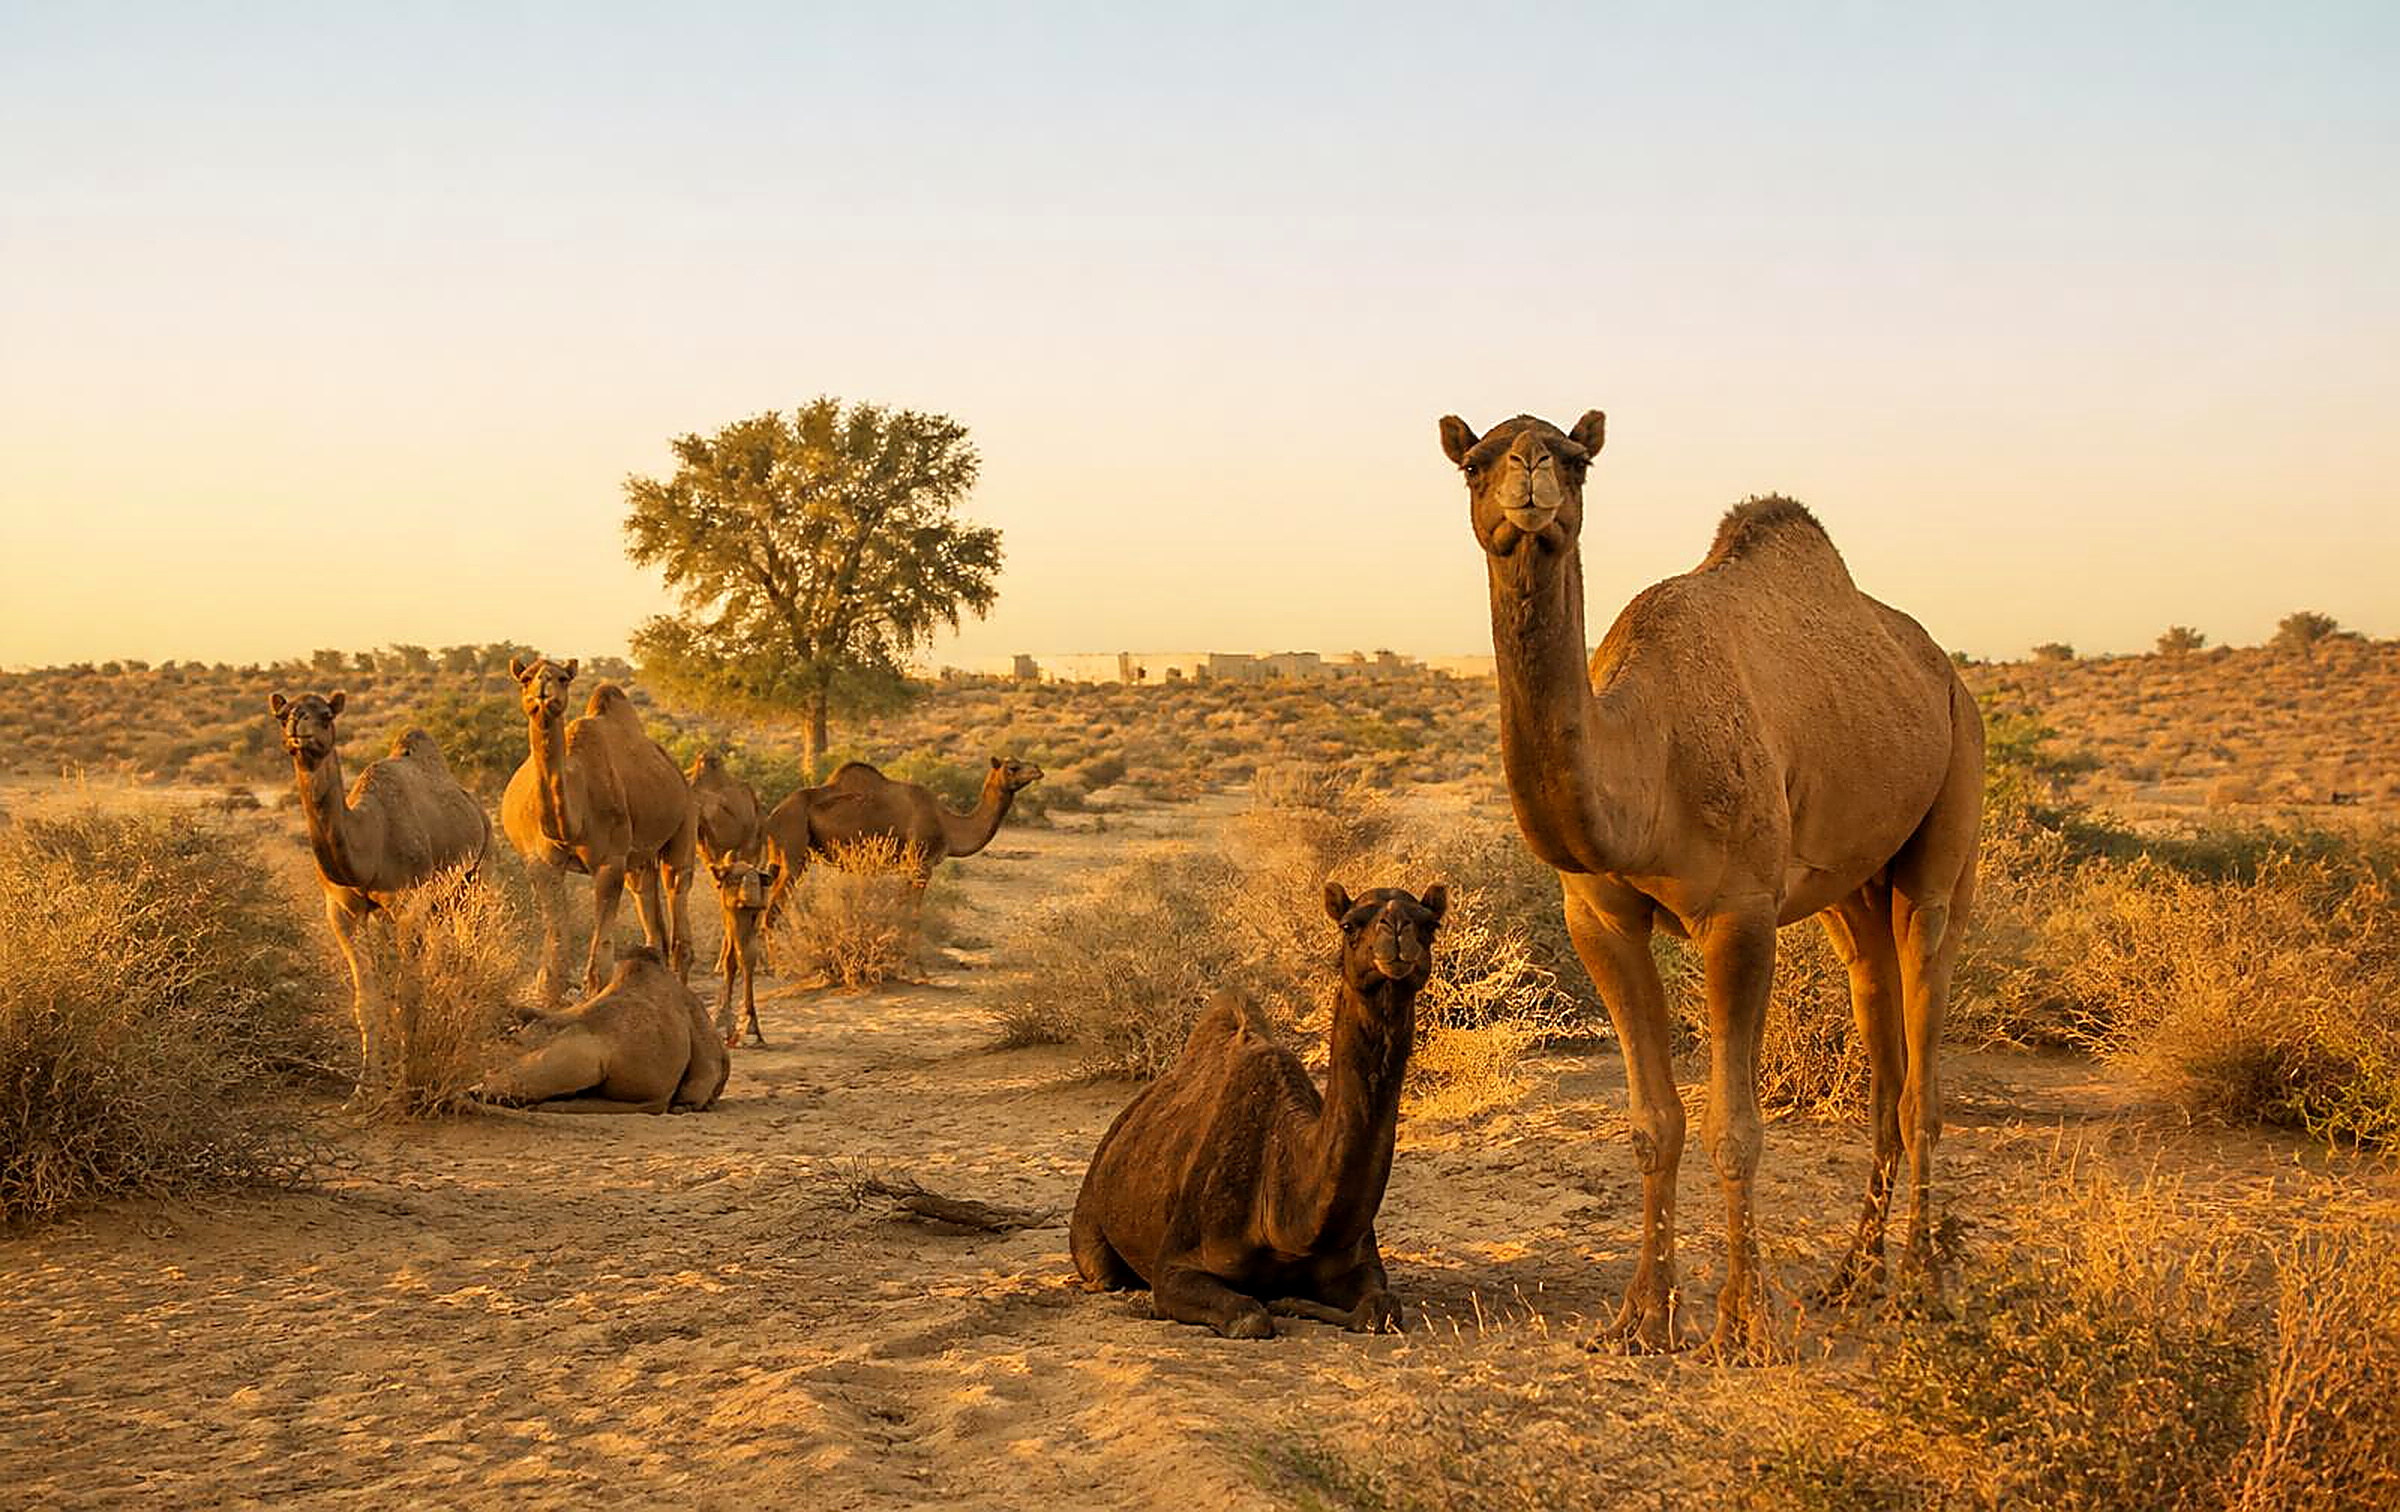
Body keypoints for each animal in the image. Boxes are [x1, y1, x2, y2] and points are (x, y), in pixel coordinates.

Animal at [268, 690, 492, 1097]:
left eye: (326, 715)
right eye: (281, 714)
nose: (297, 726)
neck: (370, 839)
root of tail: (477, 808)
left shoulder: (407, 904)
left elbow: (408, 992)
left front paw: (405, 1082)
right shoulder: (343, 911)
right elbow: (369, 998)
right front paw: (363, 1090)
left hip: (475, 880)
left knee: (469, 953)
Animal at [500, 657, 700, 1000]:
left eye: (563, 678)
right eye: (525, 678)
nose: (543, 689)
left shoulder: (610, 861)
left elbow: (600, 970)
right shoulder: (542, 864)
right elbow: (553, 966)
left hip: (683, 823)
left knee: (677, 897)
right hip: (638, 858)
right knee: (647, 905)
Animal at [759, 755, 1042, 915]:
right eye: (1013, 767)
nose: (1038, 770)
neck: (948, 824)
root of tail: (772, 816)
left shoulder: (912, 867)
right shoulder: (921, 864)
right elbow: (911, 915)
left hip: (780, 858)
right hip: (793, 851)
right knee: (773, 909)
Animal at [1071, 882, 1447, 1339]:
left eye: (1431, 924)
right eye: (1350, 924)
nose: (1396, 928)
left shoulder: (1360, 1263)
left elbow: (1382, 1308)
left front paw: (1292, 1300)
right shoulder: (1178, 1265)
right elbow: (1249, 1317)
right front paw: (1279, 1303)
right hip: (1090, 1229)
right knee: (1103, 1272)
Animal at [1440, 409, 1982, 1358]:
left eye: (1577, 460)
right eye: (1474, 460)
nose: (1531, 469)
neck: (1647, 756)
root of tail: (1946, 672)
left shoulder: (1739, 915)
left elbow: (1737, 1127)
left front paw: (1743, 1324)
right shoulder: (1598, 919)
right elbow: (1654, 1124)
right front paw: (1639, 1317)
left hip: (1949, 817)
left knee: (1924, 1066)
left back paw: (1920, 1283)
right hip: (1853, 892)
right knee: (1878, 1036)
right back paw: (1855, 1276)